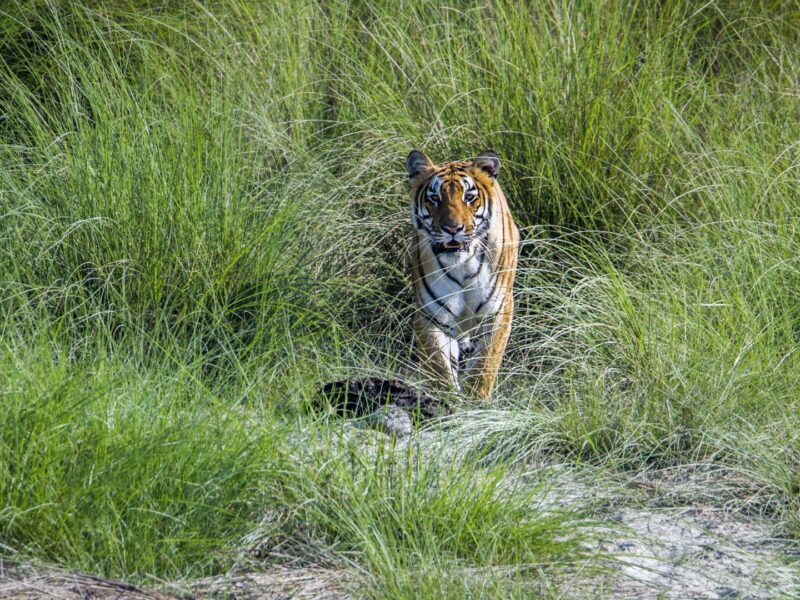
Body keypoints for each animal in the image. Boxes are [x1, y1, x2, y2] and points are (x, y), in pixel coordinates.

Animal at [406, 149, 519, 400]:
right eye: (434, 198)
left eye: (469, 197)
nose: (452, 229)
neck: (462, 265)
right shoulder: (432, 316)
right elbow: (439, 367)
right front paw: (446, 401)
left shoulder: (497, 312)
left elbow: (484, 366)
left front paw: (476, 403)